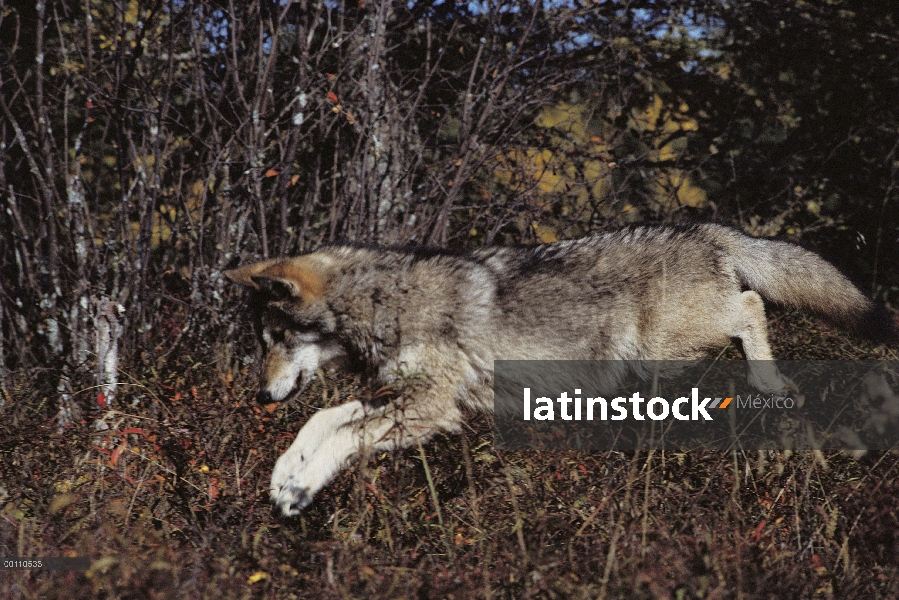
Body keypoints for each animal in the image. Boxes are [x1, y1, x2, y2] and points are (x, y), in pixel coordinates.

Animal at [223, 223, 892, 512]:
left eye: (276, 337)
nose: (260, 398)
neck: (384, 303)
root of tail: (704, 229)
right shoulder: (405, 401)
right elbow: (321, 424)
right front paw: (286, 478)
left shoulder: (430, 405)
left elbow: (341, 436)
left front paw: (300, 487)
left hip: (666, 344)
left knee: (752, 305)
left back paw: (769, 381)